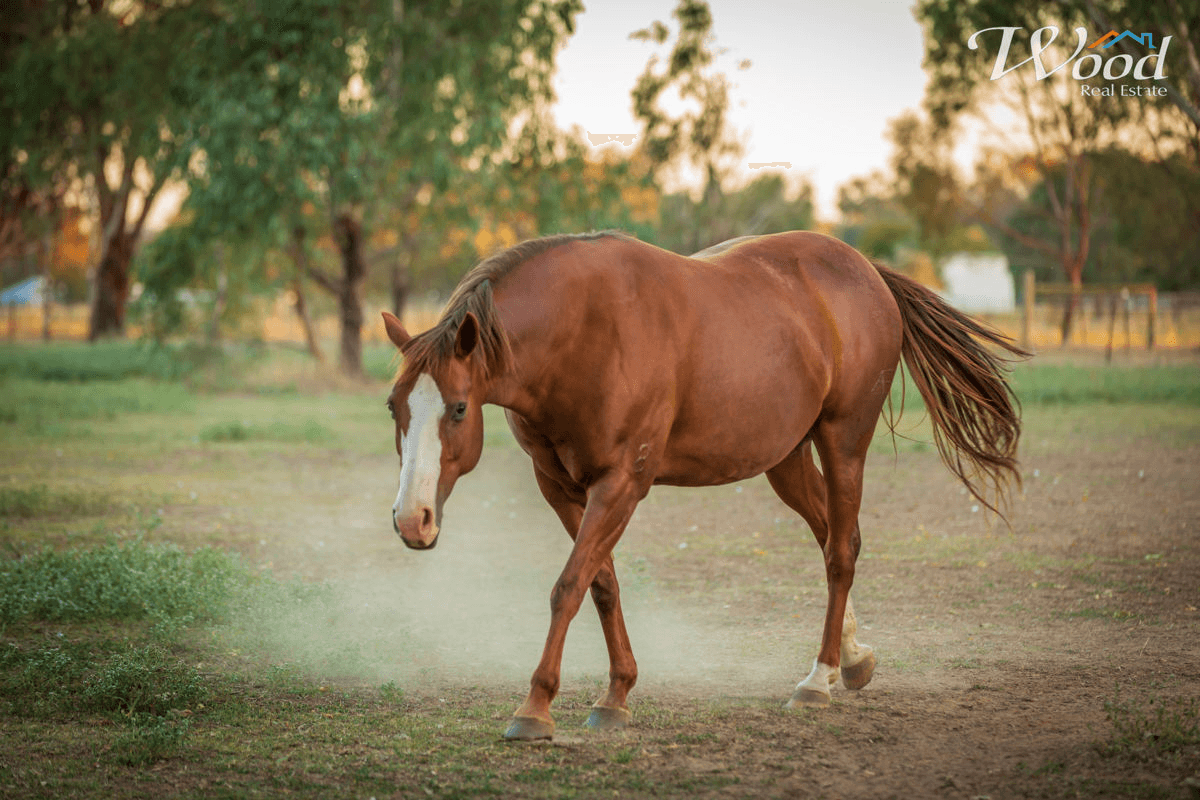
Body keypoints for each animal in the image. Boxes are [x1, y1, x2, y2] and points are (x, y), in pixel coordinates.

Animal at [381, 227, 1022, 743]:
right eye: (393, 406)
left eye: (458, 408)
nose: (412, 520)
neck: (584, 332)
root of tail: (865, 270)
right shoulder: (560, 487)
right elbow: (601, 584)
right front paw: (616, 695)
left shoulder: (621, 484)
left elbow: (568, 586)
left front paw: (535, 708)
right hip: (786, 460)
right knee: (834, 536)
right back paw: (853, 658)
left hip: (844, 442)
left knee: (841, 552)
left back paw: (817, 679)